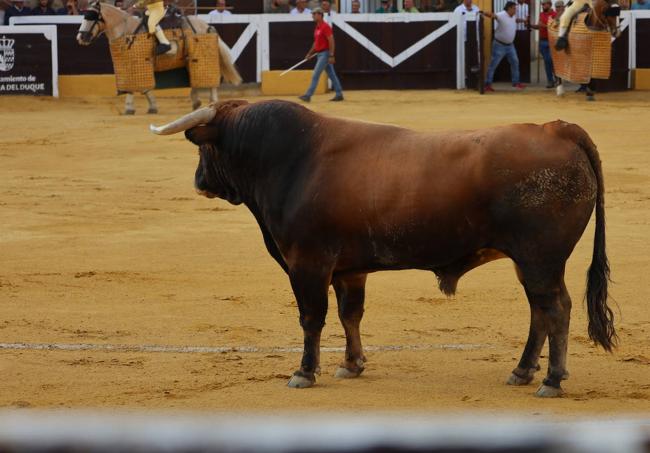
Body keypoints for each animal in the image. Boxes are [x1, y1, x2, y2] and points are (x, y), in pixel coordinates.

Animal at [75, 0, 238, 114]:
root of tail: (206, 25)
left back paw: (212, 103)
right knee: (195, 80)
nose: (80, 37)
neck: (126, 29)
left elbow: (133, 87)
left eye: (91, 17)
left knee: (210, 80)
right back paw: (196, 102)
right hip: (189, 60)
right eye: (84, 15)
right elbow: (145, 88)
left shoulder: (134, 64)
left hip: (203, 57)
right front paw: (152, 106)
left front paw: (129, 108)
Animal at [151, 100, 612, 398]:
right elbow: (349, 314)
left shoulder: (307, 264)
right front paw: (351, 365)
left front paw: (304, 372)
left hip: (540, 259)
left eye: (203, 146)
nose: (199, 181)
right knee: (539, 311)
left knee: (555, 308)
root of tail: (555, 127)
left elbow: (311, 318)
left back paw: (551, 380)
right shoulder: (349, 270)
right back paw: (522, 371)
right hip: (529, 262)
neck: (290, 158)